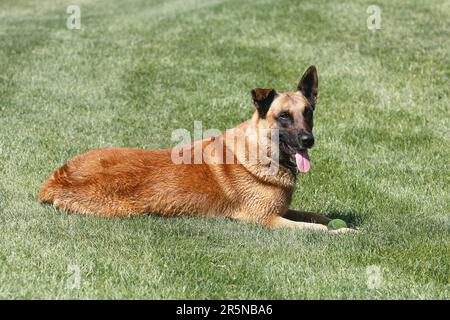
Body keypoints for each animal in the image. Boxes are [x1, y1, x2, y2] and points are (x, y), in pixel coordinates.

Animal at [38, 66, 356, 234]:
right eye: (284, 117)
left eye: (308, 113)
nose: (308, 140)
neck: (260, 151)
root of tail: (56, 179)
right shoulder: (265, 219)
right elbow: (318, 229)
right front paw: (343, 232)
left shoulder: (283, 210)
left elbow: (317, 216)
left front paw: (341, 223)